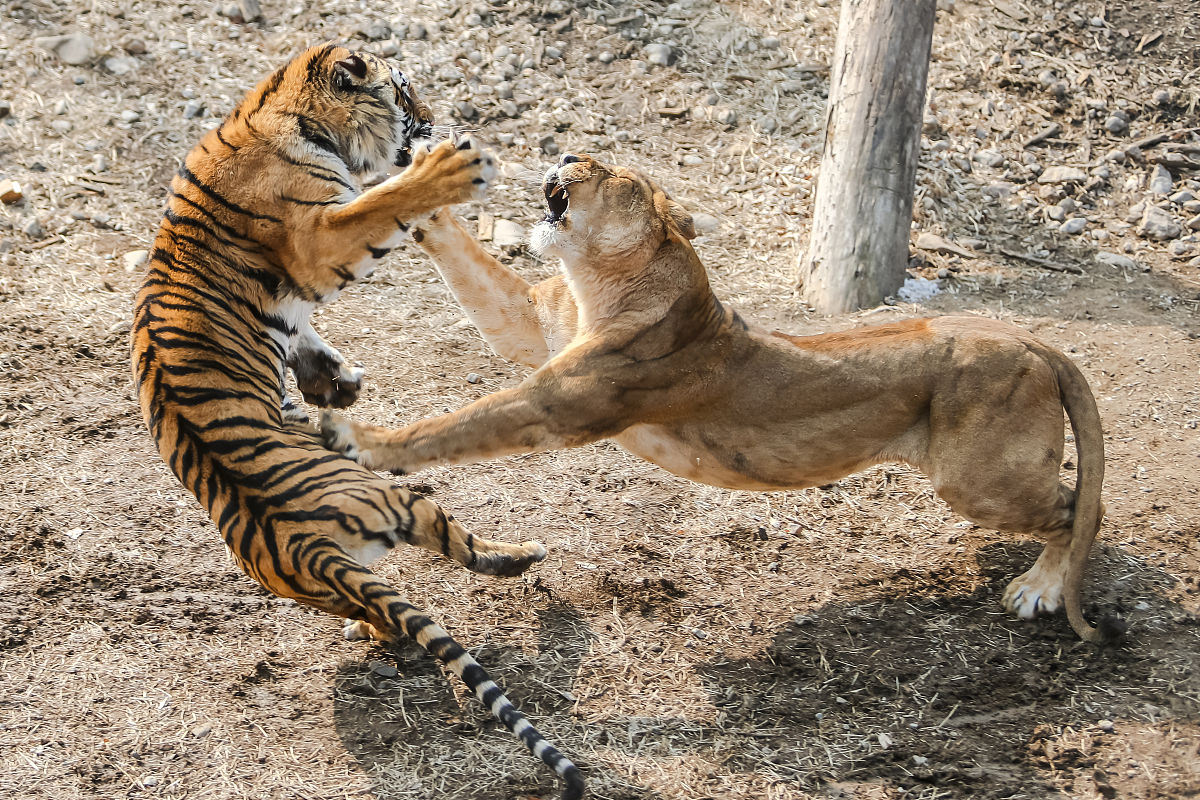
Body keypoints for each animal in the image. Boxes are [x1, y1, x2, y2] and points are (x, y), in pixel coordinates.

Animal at [126, 45, 580, 800]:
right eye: (407, 91)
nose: (431, 119)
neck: (278, 108)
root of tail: (303, 548)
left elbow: (307, 339)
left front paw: (334, 384)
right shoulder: (315, 238)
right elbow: (381, 205)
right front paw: (448, 170)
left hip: (333, 587)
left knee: (383, 617)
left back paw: (378, 633)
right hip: (404, 501)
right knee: (466, 549)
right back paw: (526, 557)